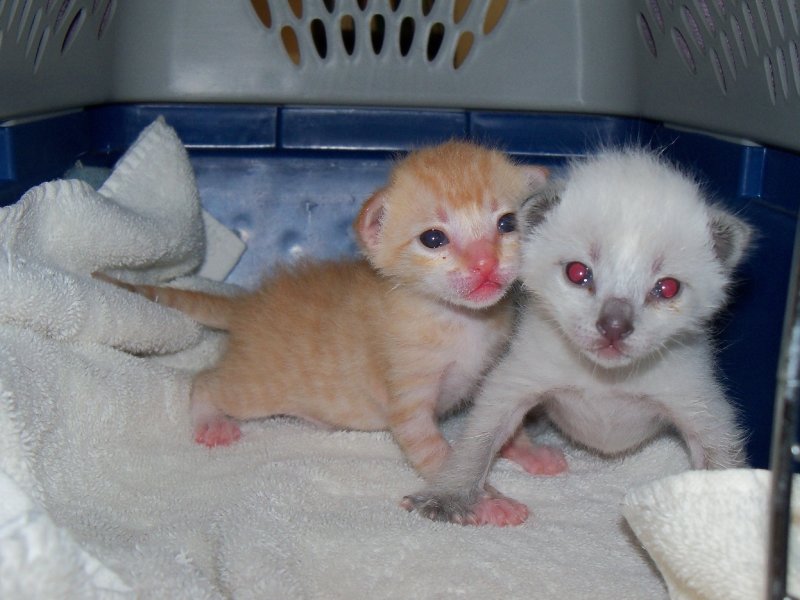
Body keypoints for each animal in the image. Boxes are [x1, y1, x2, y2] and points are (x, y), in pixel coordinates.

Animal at [100, 141, 552, 478]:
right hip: (256, 387)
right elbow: (428, 448)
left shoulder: (491, 369)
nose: (485, 264)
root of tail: (249, 304)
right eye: (434, 238)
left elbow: (501, 419)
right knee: (207, 381)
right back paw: (210, 419)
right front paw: (486, 505)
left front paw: (525, 450)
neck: (458, 319)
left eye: (507, 224)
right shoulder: (405, 387)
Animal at [404, 149, 752, 524]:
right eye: (577, 272)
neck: (605, 379)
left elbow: (721, 458)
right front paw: (448, 496)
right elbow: (478, 439)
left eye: (668, 288)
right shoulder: (515, 380)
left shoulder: (701, 403)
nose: (614, 327)